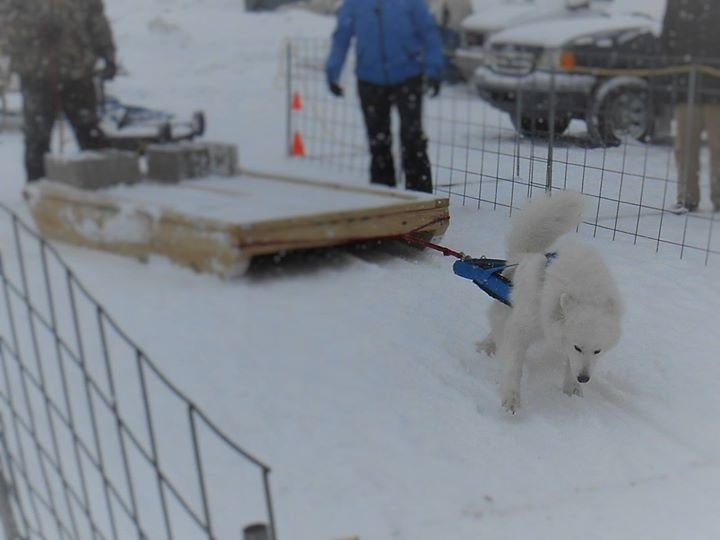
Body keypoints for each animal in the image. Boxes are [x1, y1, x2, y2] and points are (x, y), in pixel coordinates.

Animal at [478, 190, 624, 414]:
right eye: (577, 347)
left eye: (597, 351)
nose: (584, 378)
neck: (583, 288)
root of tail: (522, 255)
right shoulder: (521, 329)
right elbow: (513, 366)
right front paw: (511, 399)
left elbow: (570, 365)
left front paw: (572, 388)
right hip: (506, 312)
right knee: (496, 328)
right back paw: (486, 347)